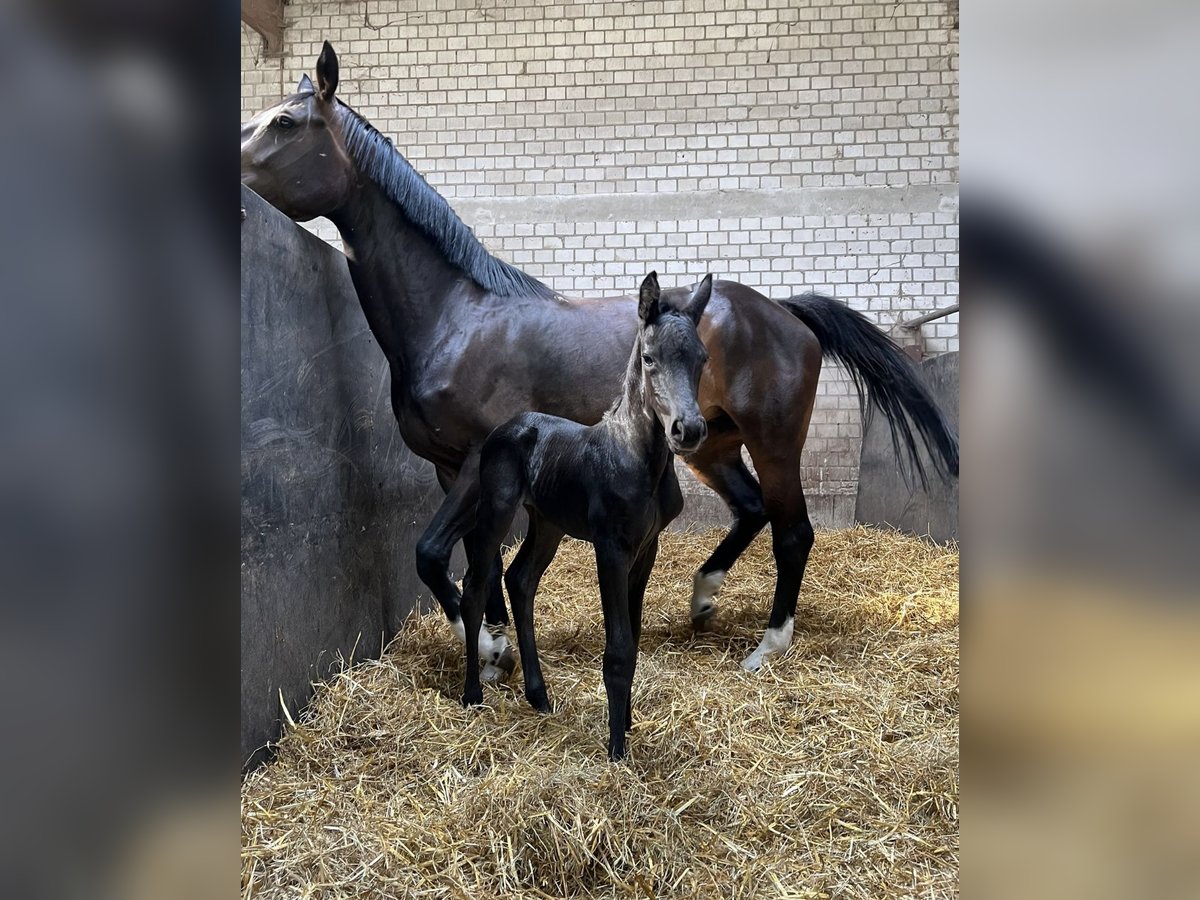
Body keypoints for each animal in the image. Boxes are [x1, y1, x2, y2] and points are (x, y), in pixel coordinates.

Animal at [238, 44, 960, 676]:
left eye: (284, 122)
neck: (455, 317)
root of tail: (783, 310)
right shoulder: (451, 468)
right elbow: (475, 558)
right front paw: (495, 646)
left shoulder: (474, 457)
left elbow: (432, 554)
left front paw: (492, 649)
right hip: (708, 444)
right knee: (751, 509)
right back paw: (702, 598)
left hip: (774, 440)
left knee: (793, 531)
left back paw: (767, 647)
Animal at [460, 270, 710, 763]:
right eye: (649, 358)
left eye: (702, 359)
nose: (688, 430)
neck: (640, 459)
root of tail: (505, 428)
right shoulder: (610, 547)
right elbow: (618, 649)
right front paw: (616, 748)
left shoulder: (646, 547)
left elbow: (634, 636)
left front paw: (627, 723)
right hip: (497, 510)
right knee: (476, 587)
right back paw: (471, 695)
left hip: (548, 523)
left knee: (520, 579)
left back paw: (538, 695)